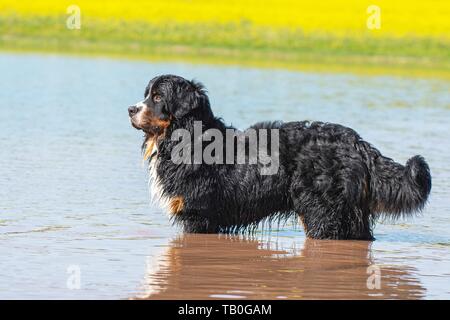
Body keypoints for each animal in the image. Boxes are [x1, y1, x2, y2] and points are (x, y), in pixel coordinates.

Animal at [128, 75, 430, 240]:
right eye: (146, 95)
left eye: (158, 97)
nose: (131, 109)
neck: (187, 139)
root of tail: (357, 143)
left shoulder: (197, 214)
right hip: (350, 217)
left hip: (322, 212)